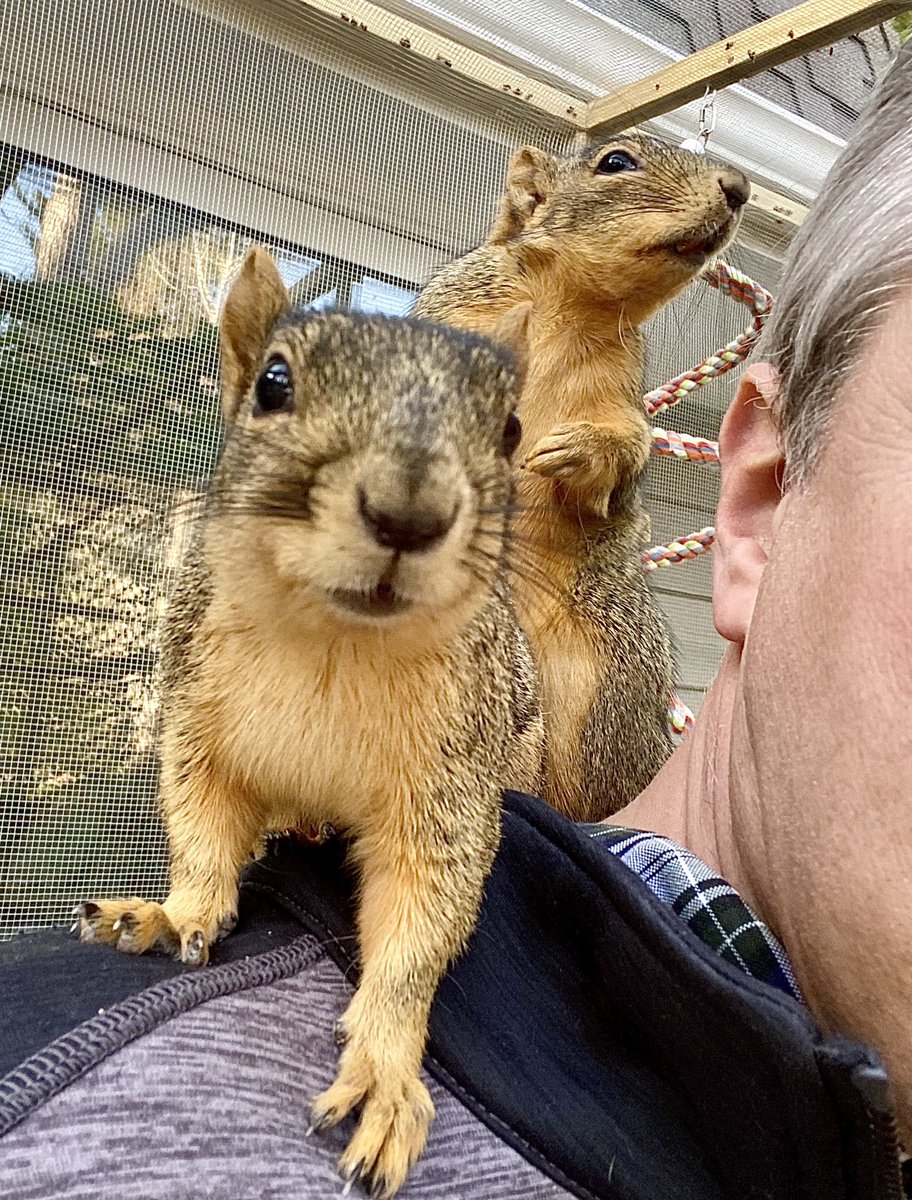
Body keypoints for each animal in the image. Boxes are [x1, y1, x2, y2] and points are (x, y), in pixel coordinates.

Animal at [75, 248, 543, 1198]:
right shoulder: (198, 725)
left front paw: (387, 1073)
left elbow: (417, 934)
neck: (336, 640)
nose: (408, 513)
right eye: (273, 383)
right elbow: (203, 832)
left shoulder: (449, 793)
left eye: (511, 427)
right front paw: (176, 912)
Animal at [414, 132, 749, 821]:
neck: (565, 305)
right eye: (616, 162)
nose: (738, 188)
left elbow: (621, 459)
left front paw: (578, 451)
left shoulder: (622, 394)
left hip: (603, 691)